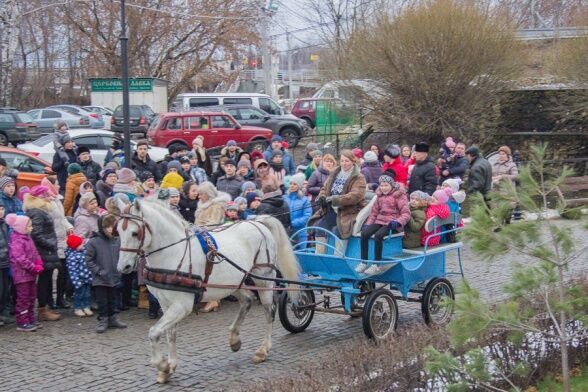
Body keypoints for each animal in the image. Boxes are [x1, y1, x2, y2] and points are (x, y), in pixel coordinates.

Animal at [113, 198, 300, 384]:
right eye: (118, 231)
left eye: (135, 233)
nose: (123, 267)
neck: (173, 252)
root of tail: (258, 222)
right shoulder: (165, 303)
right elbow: (170, 333)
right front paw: (170, 366)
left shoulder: (183, 305)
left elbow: (154, 333)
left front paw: (162, 365)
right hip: (232, 282)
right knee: (247, 300)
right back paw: (234, 339)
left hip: (263, 278)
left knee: (269, 311)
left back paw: (263, 350)